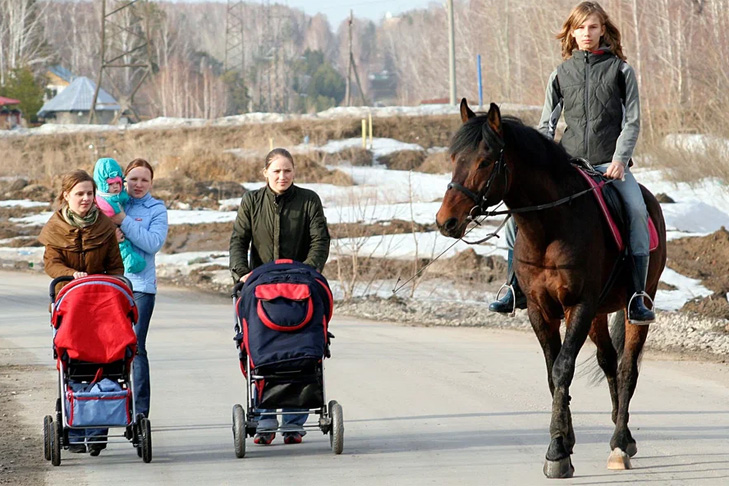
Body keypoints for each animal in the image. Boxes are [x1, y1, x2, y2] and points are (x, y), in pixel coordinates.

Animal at [436, 99, 668, 478]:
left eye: (485, 161)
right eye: (455, 157)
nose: (446, 222)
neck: (550, 226)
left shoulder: (579, 305)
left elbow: (563, 368)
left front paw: (557, 453)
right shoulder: (540, 310)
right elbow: (551, 373)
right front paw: (565, 441)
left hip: (632, 307)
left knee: (626, 369)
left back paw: (620, 444)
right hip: (598, 314)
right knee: (608, 361)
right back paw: (623, 433)